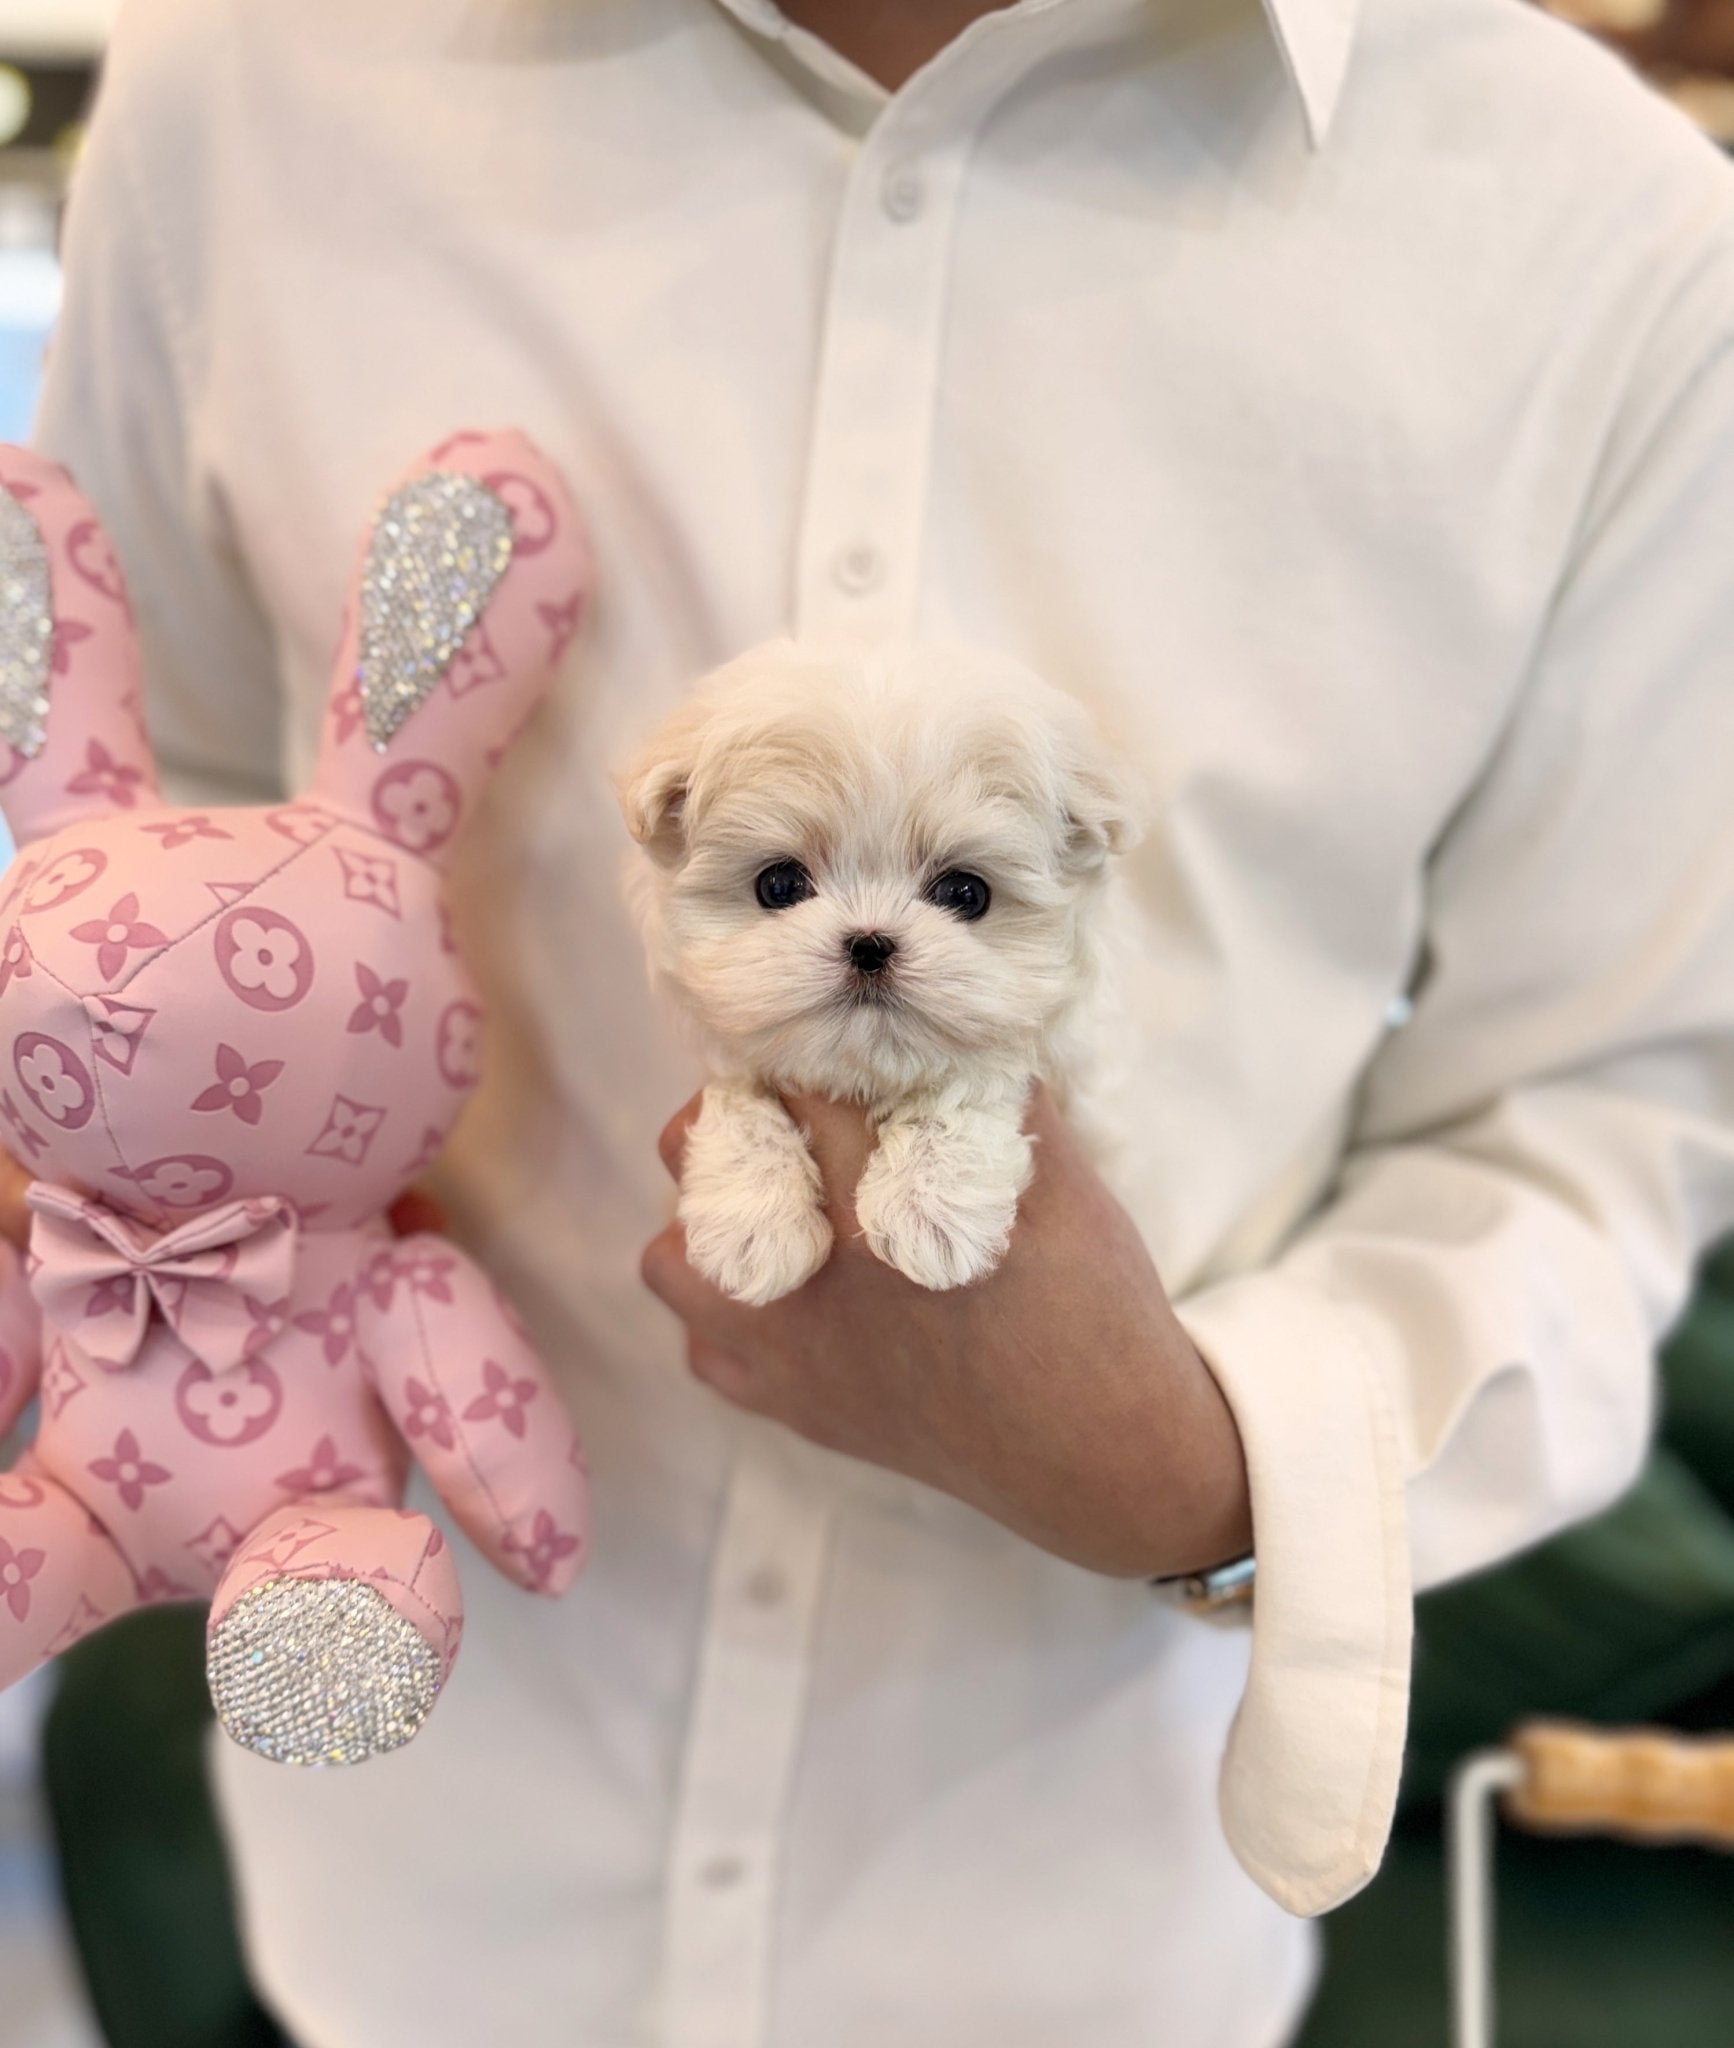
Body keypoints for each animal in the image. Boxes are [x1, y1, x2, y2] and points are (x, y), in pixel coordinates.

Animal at [622, 647, 1138, 1302]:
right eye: (779, 885)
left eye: (965, 893)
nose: (869, 946)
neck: (867, 1074)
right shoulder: (730, 1051)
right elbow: (740, 1093)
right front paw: (752, 1225)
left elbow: (971, 1079)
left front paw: (930, 1208)